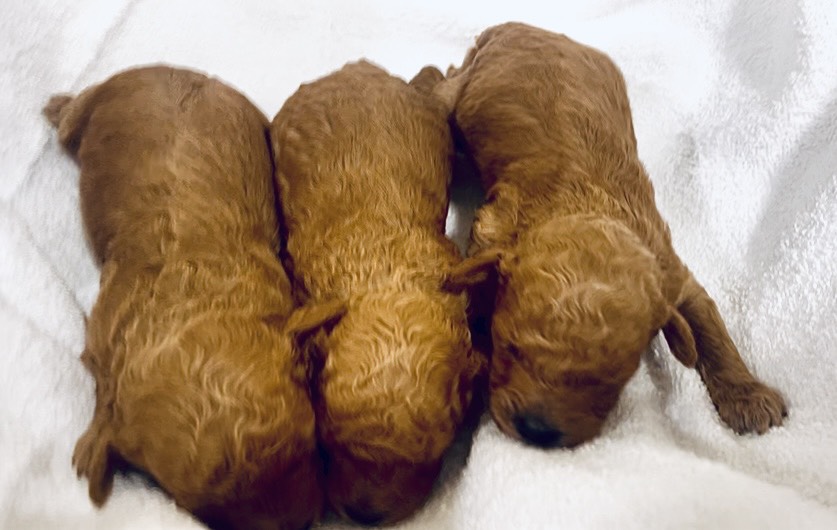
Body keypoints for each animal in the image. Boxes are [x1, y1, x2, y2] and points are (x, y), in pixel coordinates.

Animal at [45, 65, 342, 530]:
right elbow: (104, 390)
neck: (195, 296)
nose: (306, 523)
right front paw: (94, 445)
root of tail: (173, 71)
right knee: (71, 116)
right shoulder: (103, 339)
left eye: (309, 443)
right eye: (205, 516)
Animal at [439, 23, 787, 448]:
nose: (537, 431)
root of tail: (521, 26)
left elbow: (711, 328)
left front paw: (747, 395)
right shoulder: (494, 230)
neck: (588, 206)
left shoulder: (669, 266)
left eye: (611, 379)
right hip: (458, 88)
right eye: (506, 346)